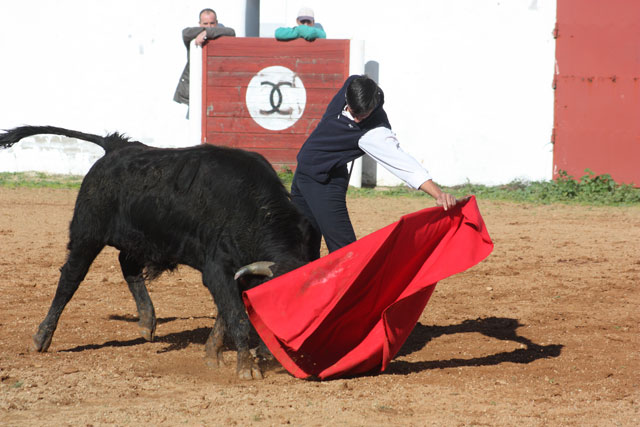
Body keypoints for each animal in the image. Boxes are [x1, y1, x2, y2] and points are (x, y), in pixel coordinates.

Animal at [0, 124, 316, 382]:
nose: (274, 351)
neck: (253, 211)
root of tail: (117, 146)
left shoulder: (238, 274)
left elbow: (225, 314)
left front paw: (213, 355)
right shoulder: (218, 270)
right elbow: (235, 316)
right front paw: (247, 367)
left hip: (137, 239)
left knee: (127, 266)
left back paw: (147, 322)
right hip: (87, 232)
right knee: (70, 279)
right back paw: (42, 337)